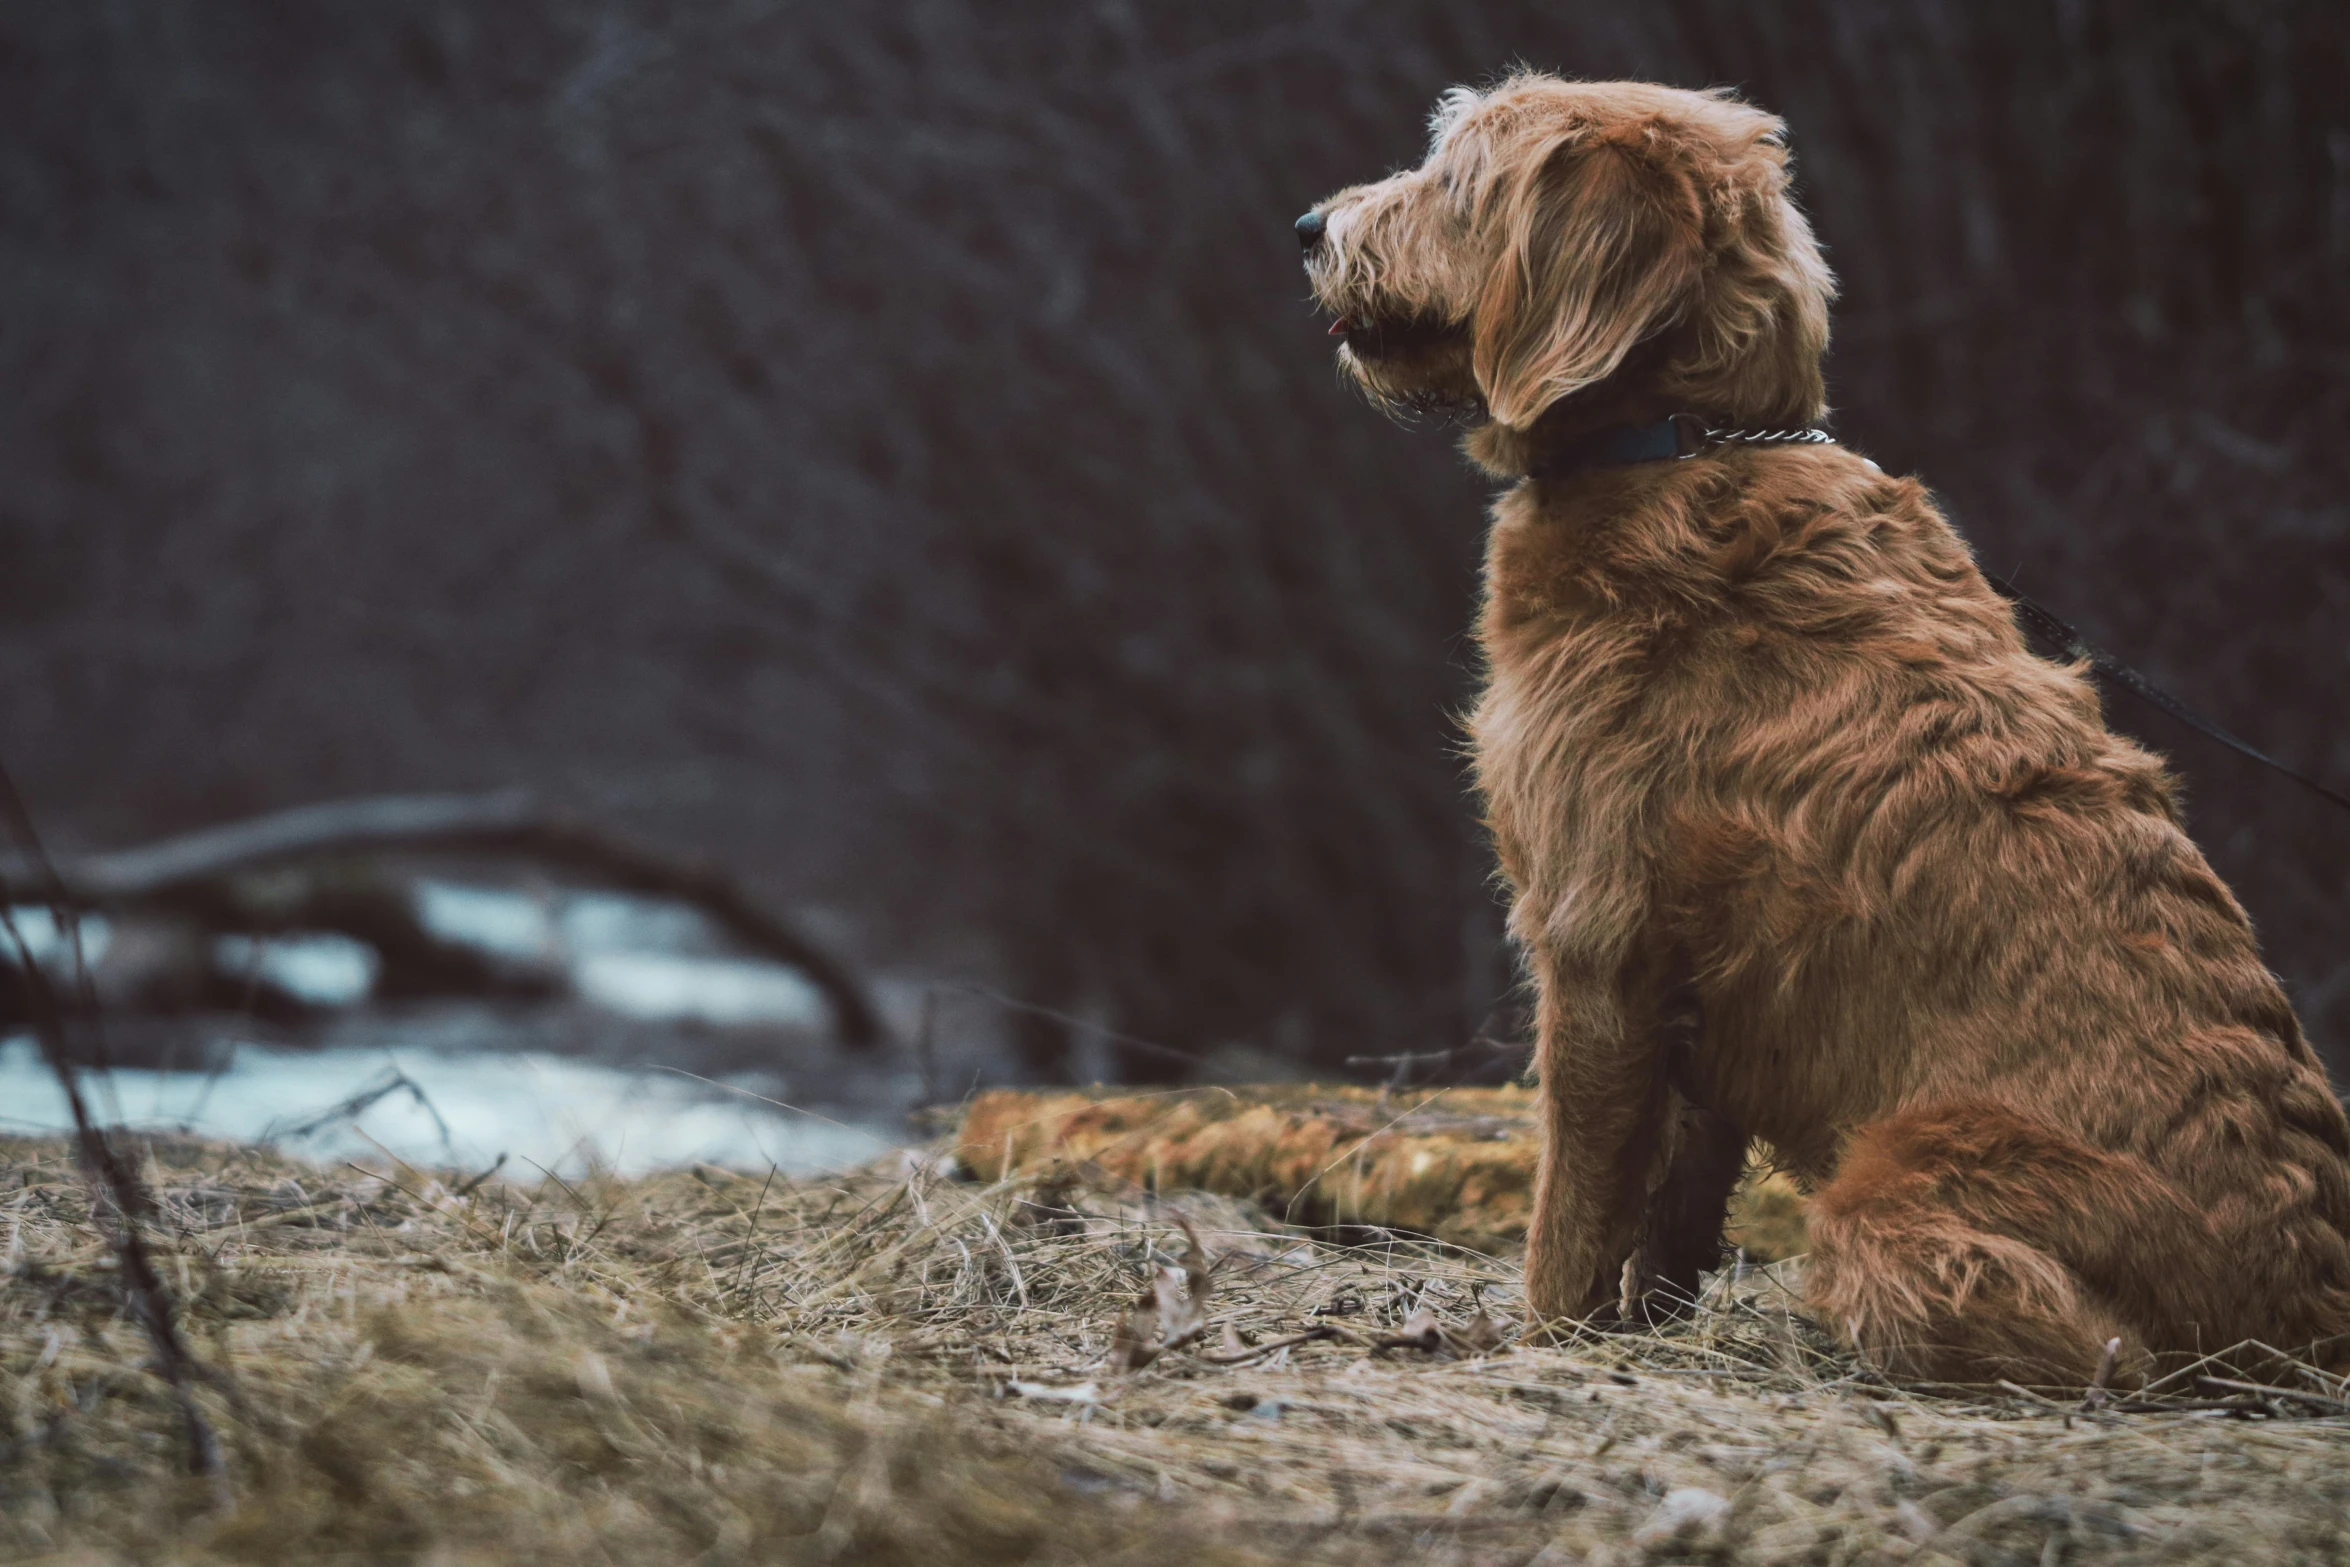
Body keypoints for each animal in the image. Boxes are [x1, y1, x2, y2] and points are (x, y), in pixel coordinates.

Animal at [1306, 79, 2350, 1390]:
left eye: (1452, 176)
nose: (1308, 226)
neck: (1686, 438)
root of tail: (2312, 1307)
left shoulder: (1595, 943)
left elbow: (1576, 1206)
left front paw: (1541, 1344)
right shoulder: (1694, 997)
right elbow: (1673, 1205)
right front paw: (1647, 1329)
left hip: (1891, 1198)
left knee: (2100, 1351)